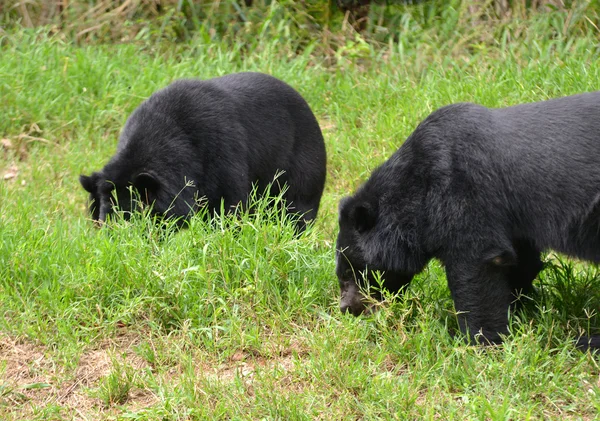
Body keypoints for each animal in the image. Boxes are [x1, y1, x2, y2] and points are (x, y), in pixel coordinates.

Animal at [80, 71, 328, 233]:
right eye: (102, 219)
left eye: (131, 218)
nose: (116, 241)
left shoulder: (222, 156)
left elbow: (229, 206)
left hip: (301, 167)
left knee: (295, 211)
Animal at [336, 90, 600, 350]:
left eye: (350, 272)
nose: (346, 309)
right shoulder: (511, 218)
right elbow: (521, 262)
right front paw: (519, 313)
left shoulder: (463, 187)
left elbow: (476, 262)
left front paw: (478, 342)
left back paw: (586, 342)